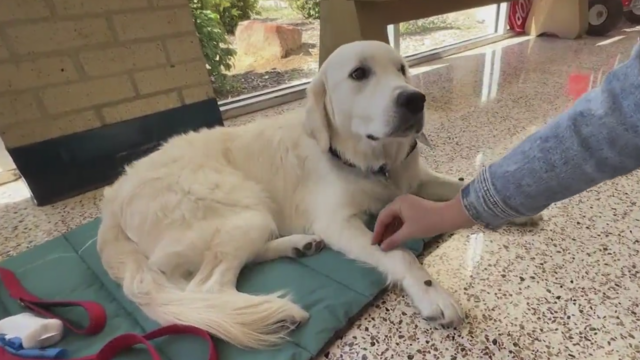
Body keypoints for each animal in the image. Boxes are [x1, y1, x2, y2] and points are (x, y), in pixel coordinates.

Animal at [97, 40, 544, 350]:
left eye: (402, 69)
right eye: (359, 74)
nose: (415, 99)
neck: (370, 160)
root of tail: (113, 200)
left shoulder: (414, 183)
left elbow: (460, 187)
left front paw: (512, 207)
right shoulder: (339, 222)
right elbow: (400, 255)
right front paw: (431, 293)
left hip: (249, 218)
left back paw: (298, 244)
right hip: (241, 210)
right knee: (206, 290)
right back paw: (277, 313)